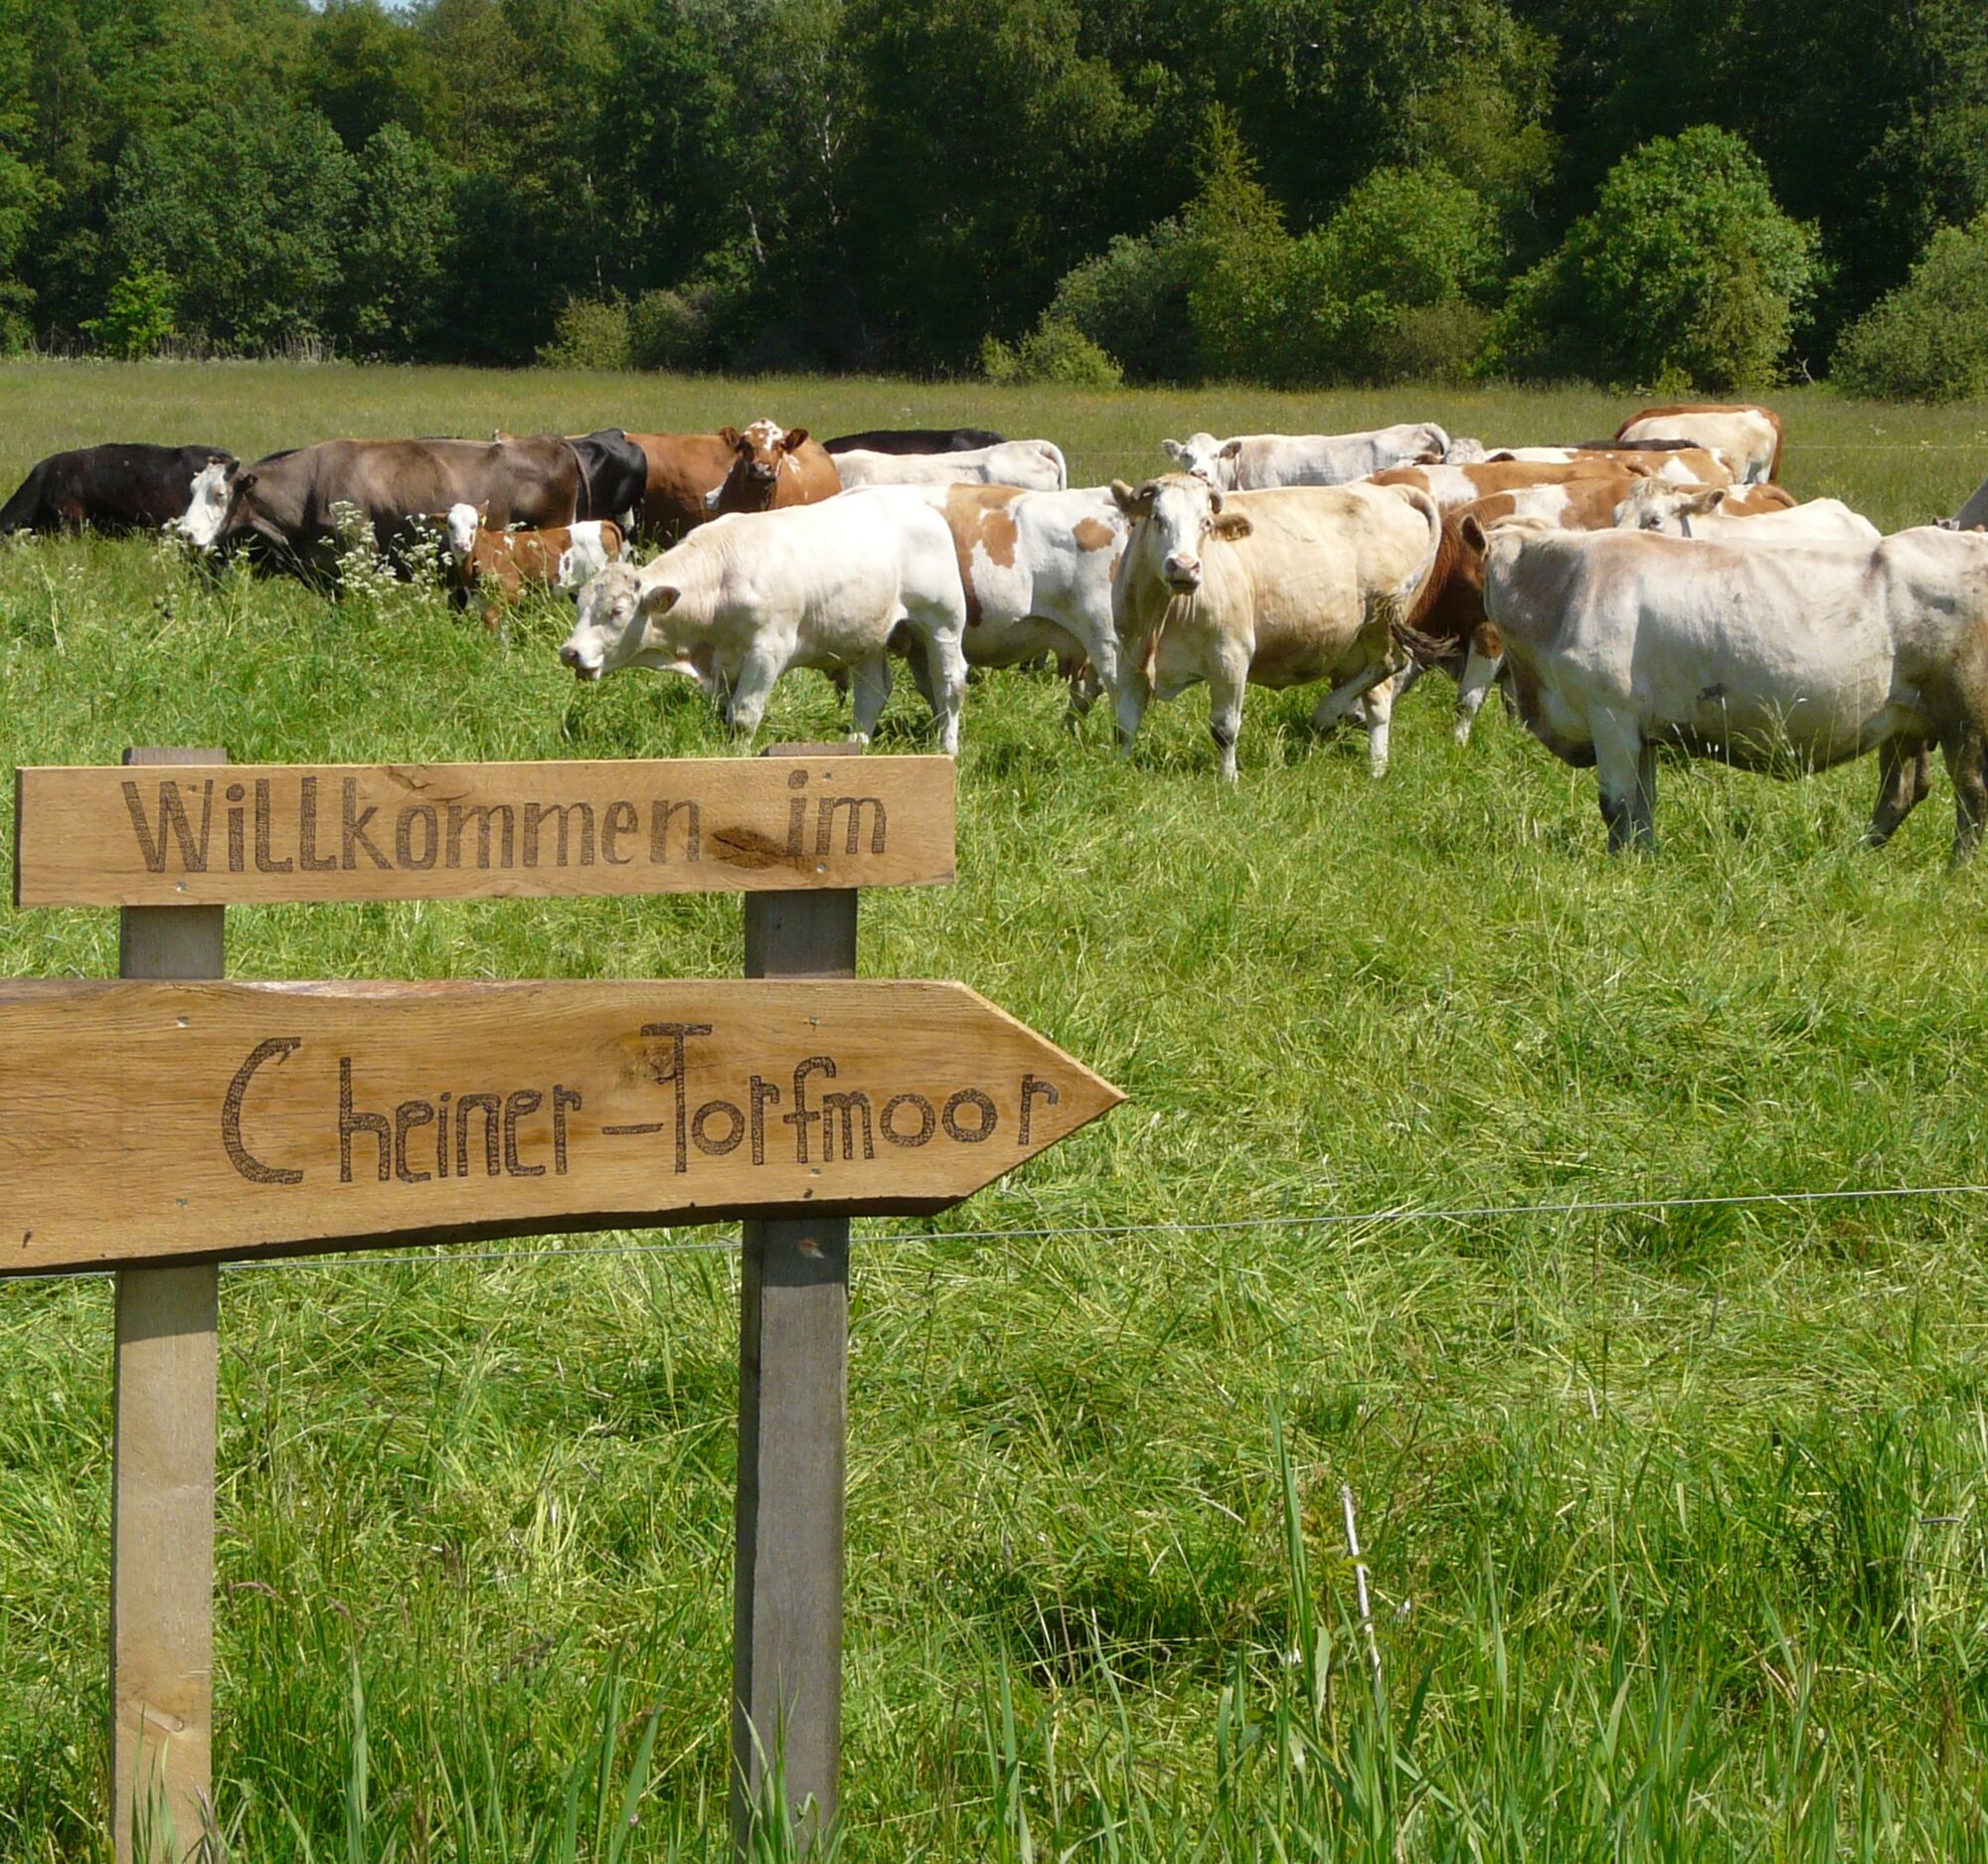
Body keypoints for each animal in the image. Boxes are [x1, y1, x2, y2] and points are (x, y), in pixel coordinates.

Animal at [444, 503, 625, 625]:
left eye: (474, 525)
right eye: (450, 525)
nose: (461, 545)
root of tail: (602, 523)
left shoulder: (511, 591)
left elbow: (491, 619)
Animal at [559, 489, 969, 752]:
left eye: (616, 612)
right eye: (580, 606)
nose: (570, 652)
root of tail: (919, 507)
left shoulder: (767, 651)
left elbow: (743, 715)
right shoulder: (723, 664)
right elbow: (724, 716)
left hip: (942, 624)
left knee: (949, 686)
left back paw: (946, 749)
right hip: (866, 637)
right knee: (872, 693)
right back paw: (856, 745)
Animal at [1109, 474, 1442, 780]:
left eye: (1206, 523)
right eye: (1157, 517)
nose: (1184, 566)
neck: (1160, 617)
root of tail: (1392, 492)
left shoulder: (1231, 656)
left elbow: (1224, 728)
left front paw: (1228, 779)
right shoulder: (1129, 658)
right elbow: (1124, 726)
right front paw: (1119, 770)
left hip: (1382, 625)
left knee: (1390, 665)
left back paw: (1330, 716)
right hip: (1357, 644)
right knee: (1377, 701)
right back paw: (1375, 766)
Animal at [1463, 515, 1988, 861]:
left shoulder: (1608, 714)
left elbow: (1615, 805)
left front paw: (1617, 865)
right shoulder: (1641, 728)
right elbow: (1643, 805)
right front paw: (1643, 860)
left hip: (1966, 717)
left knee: (1973, 795)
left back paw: (1956, 870)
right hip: (1907, 720)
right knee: (1901, 792)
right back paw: (1855, 855)